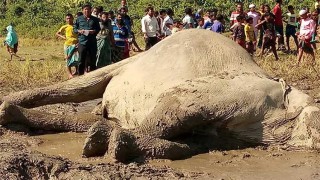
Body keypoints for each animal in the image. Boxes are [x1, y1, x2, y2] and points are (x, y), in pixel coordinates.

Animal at [0, 29, 320, 162]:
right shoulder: (243, 94)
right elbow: (175, 107)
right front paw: (107, 144)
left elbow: (190, 144)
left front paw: (111, 142)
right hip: (126, 61)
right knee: (83, 86)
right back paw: (7, 109)